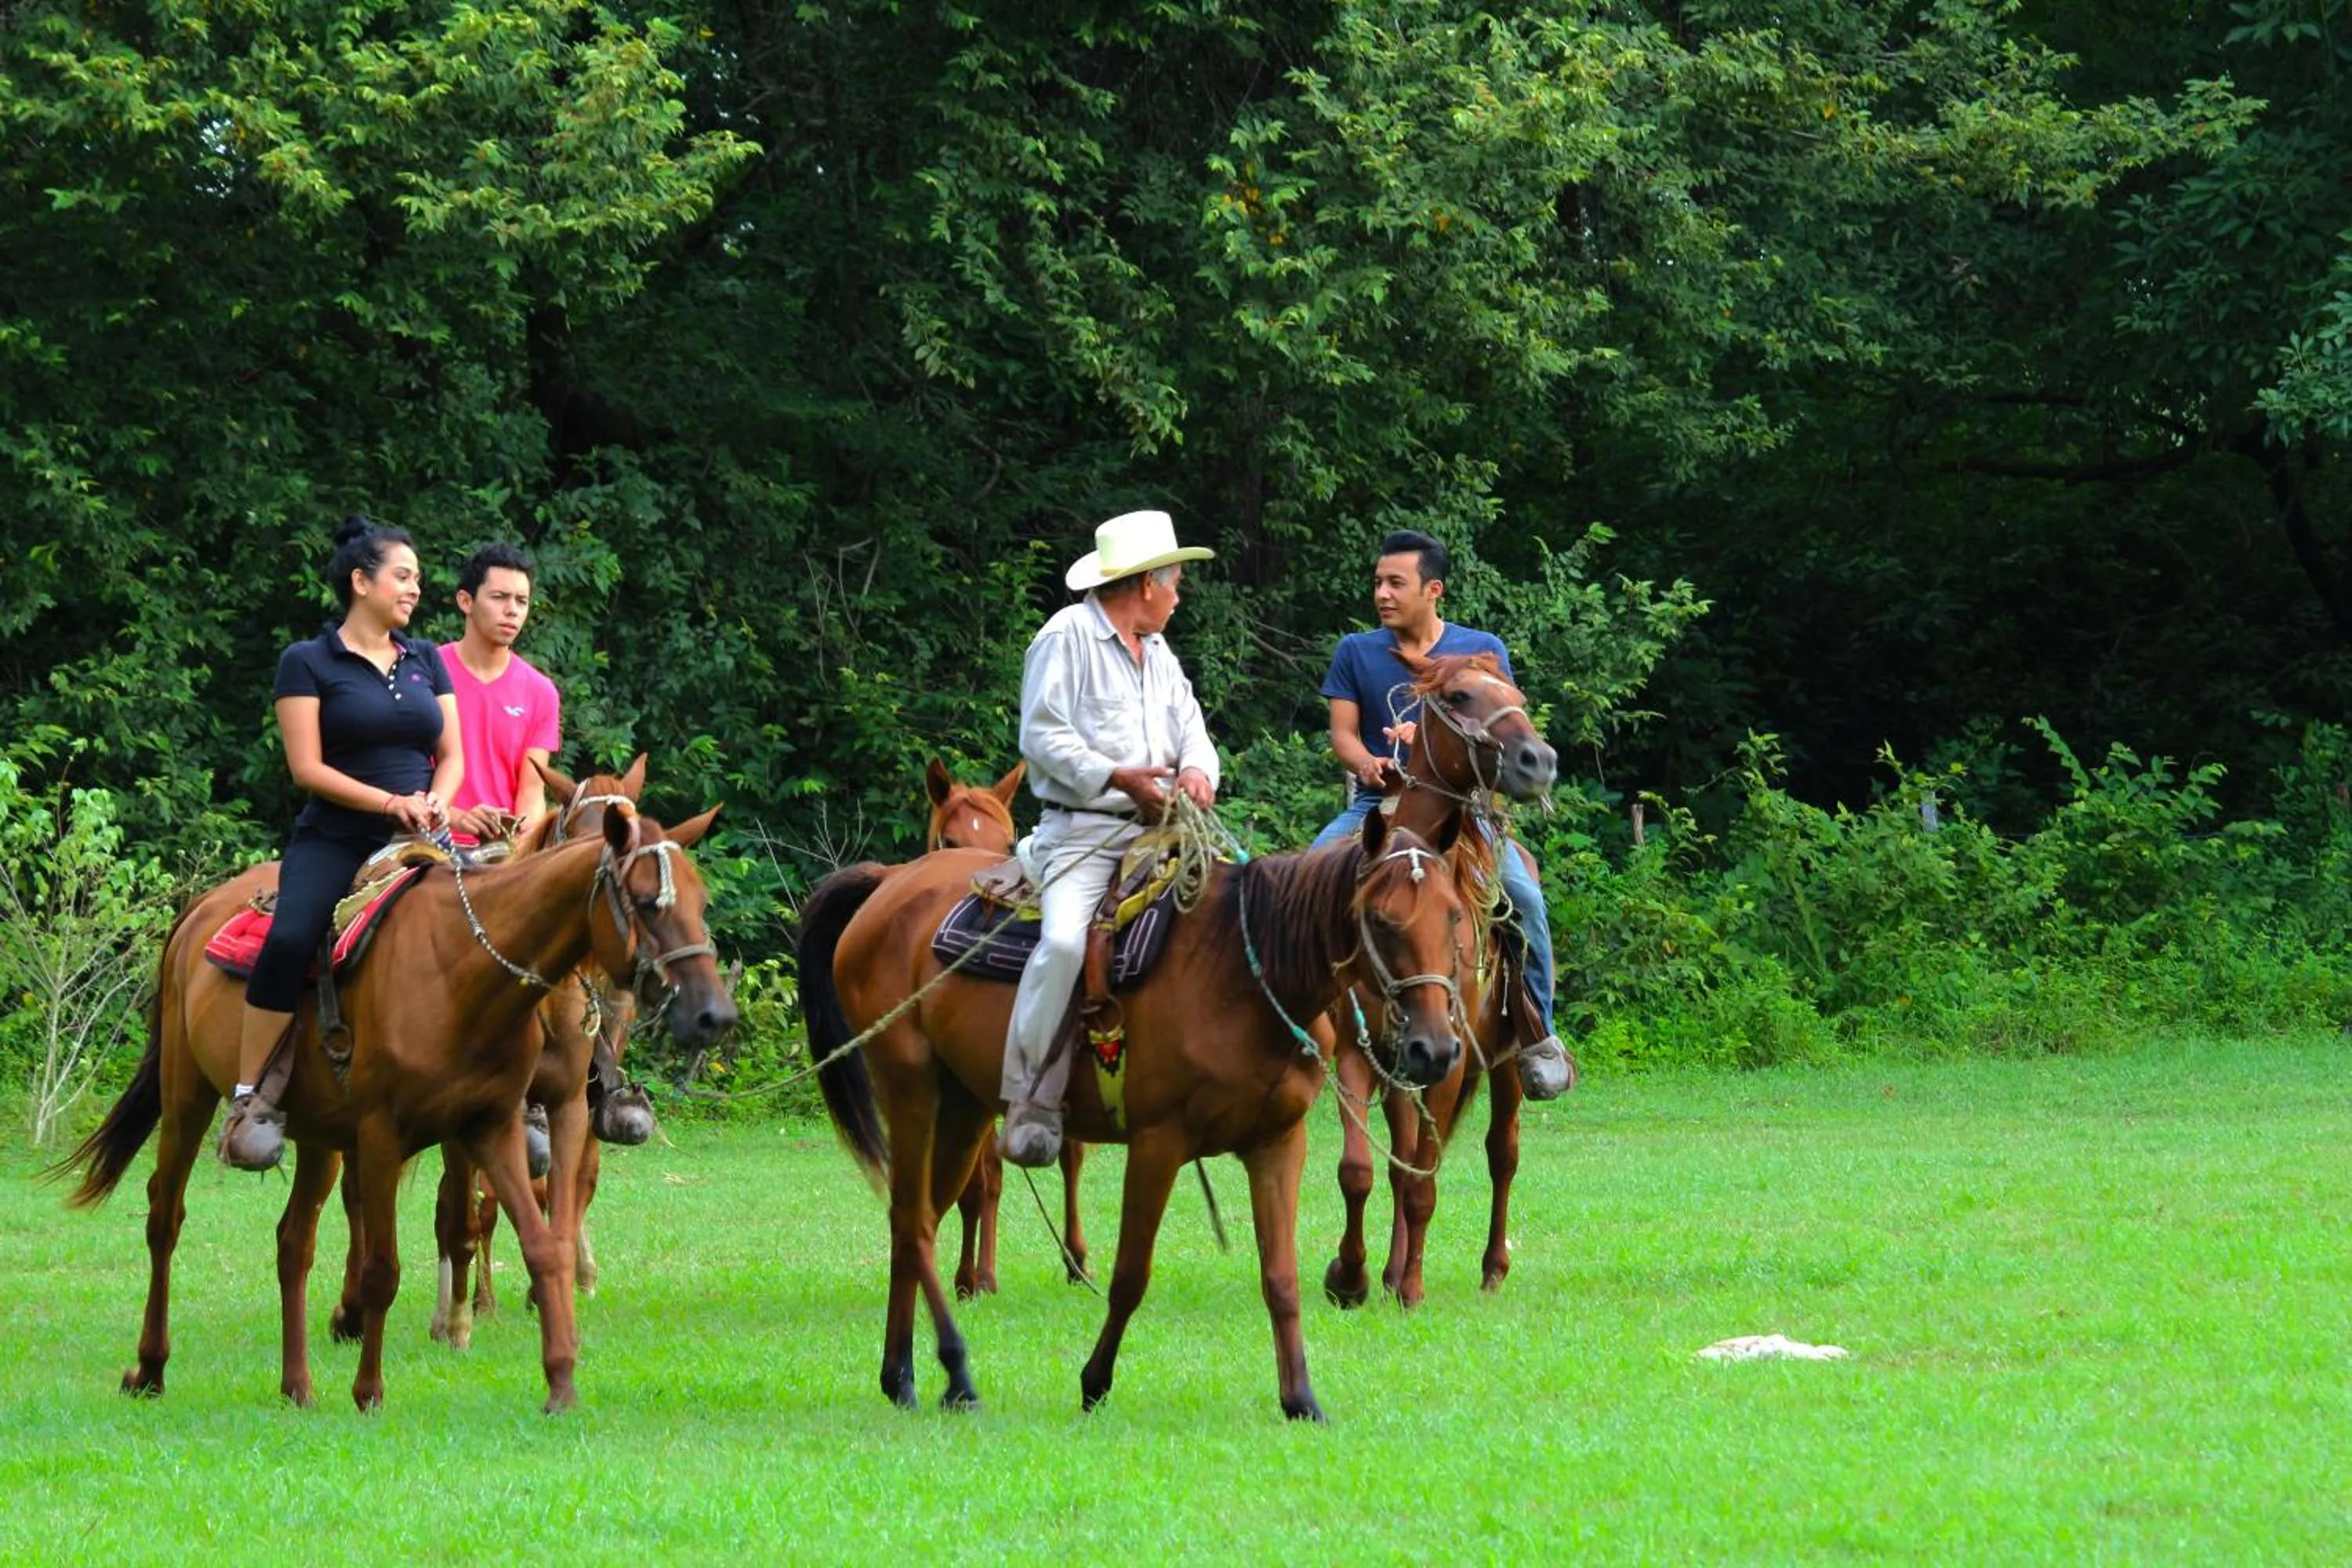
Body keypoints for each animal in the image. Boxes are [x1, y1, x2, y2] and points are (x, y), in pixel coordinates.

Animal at [54, 799, 735, 1412]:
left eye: (700, 903)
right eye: (647, 902)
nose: (714, 1015)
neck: (462, 970)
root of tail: (198, 912)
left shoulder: (493, 1126)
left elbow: (541, 1244)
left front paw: (561, 1382)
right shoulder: (385, 1135)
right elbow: (388, 1266)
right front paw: (371, 1389)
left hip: (317, 1134)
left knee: (293, 1242)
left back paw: (297, 1386)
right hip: (186, 1093)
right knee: (164, 1219)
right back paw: (150, 1369)